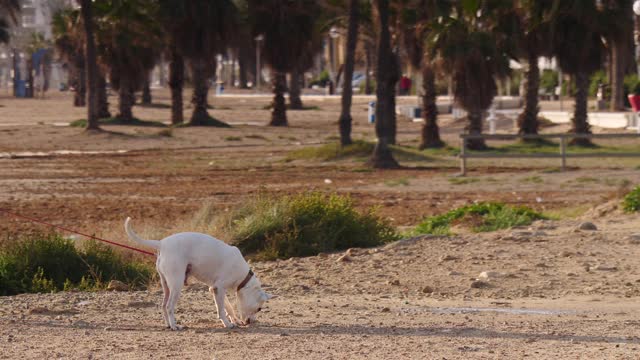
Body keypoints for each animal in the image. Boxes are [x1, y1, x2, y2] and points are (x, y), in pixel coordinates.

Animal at [125, 217, 272, 330]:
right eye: (259, 309)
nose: (251, 322)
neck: (244, 278)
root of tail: (161, 243)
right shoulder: (219, 288)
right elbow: (221, 310)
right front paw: (227, 324)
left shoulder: (216, 289)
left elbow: (228, 307)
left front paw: (234, 320)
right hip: (176, 284)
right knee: (169, 306)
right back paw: (174, 326)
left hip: (166, 285)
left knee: (163, 305)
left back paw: (168, 324)